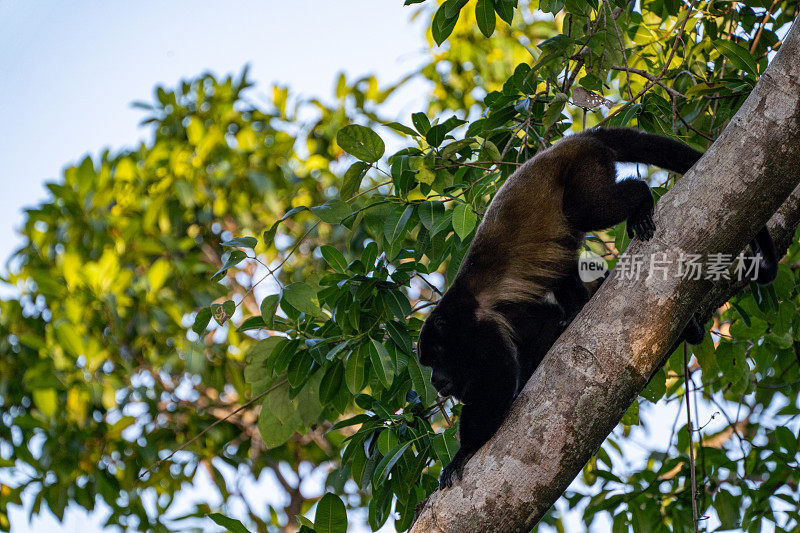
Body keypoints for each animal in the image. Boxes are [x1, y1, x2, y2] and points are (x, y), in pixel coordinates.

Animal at [416, 128, 780, 486]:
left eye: (435, 358)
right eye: (428, 366)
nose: (434, 381)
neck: (455, 320)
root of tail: (577, 139)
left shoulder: (479, 329)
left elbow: (499, 379)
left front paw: (462, 454)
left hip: (584, 169)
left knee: (586, 210)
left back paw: (641, 200)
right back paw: (577, 309)